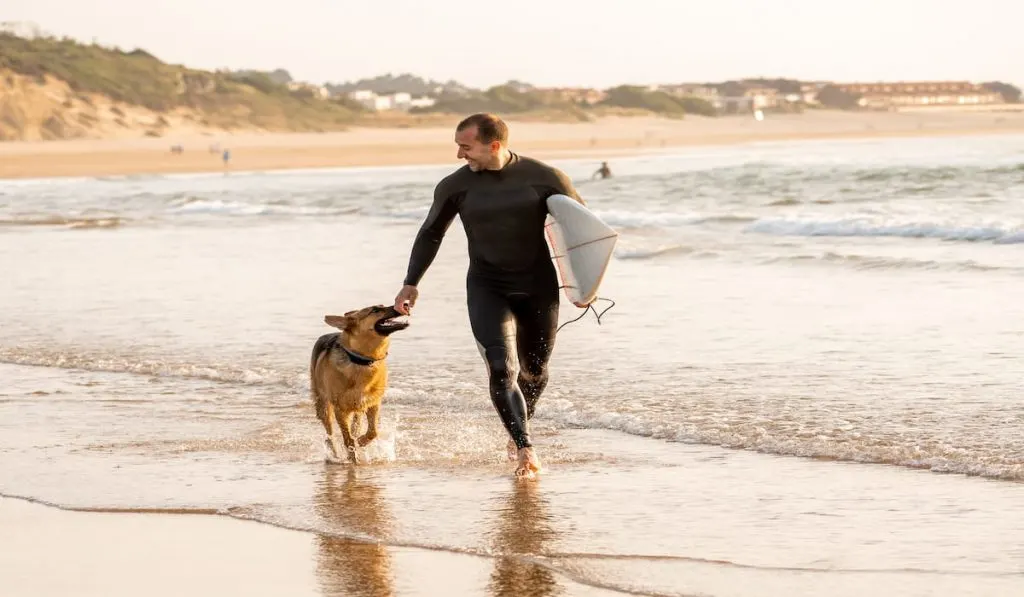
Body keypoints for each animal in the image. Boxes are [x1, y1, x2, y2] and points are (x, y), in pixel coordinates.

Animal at [309, 305, 409, 464]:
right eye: (375, 310)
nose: (404, 305)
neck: (362, 361)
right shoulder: (340, 409)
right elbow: (348, 439)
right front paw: (353, 459)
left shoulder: (373, 403)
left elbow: (373, 431)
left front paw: (362, 442)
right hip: (324, 406)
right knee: (330, 434)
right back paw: (335, 452)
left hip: (357, 410)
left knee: (355, 426)